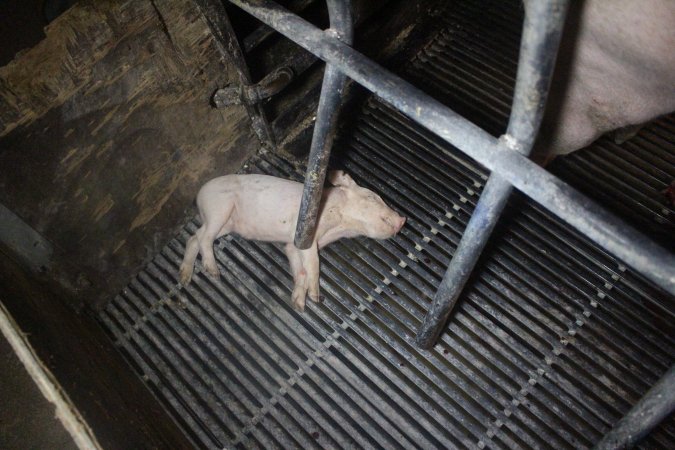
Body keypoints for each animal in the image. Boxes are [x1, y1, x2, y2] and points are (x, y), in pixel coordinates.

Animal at [180, 171, 406, 312]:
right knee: (203, 237)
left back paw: (185, 278)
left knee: (193, 238)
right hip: (219, 208)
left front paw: (299, 305)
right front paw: (316, 297)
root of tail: (199, 195)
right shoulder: (307, 234)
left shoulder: (293, 245)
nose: (403, 219)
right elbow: (314, 263)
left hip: (226, 223)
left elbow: (300, 268)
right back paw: (213, 273)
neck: (340, 225)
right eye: (372, 197)